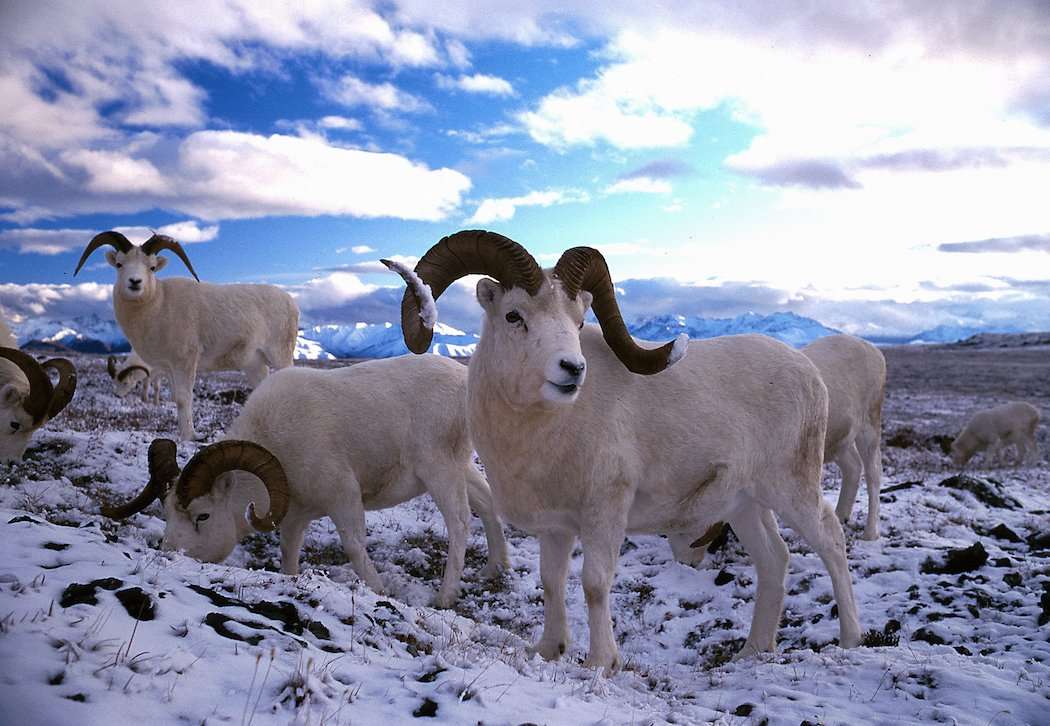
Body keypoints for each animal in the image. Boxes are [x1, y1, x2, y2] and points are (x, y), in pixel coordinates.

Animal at [74, 230, 299, 440]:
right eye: (120, 264)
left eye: (151, 267)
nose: (135, 282)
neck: (158, 305)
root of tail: (290, 301)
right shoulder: (169, 368)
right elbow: (175, 398)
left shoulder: (186, 362)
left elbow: (183, 398)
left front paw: (190, 437)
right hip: (254, 365)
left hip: (279, 356)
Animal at [102, 354, 509, 608]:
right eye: (167, 513)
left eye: (202, 516)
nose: (170, 555)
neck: (279, 438)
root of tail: (464, 382)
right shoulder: (295, 516)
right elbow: (288, 557)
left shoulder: (344, 497)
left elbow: (355, 548)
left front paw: (380, 592)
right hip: (460, 469)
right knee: (488, 504)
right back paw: (495, 570)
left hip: (439, 471)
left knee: (460, 523)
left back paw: (445, 597)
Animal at [383, 230, 862, 672]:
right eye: (514, 315)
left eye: (578, 322)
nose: (572, 369)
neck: (544, 432)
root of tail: (809, 372)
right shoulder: (556, 529)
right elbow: (552, 582)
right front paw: (549, 650)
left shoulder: (605, 514)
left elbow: (595, 584)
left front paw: (600, 664)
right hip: (746, 506)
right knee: (774, 561)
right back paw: (753, 651)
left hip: (792, 489)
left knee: (831, 540)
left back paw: (850, 640)